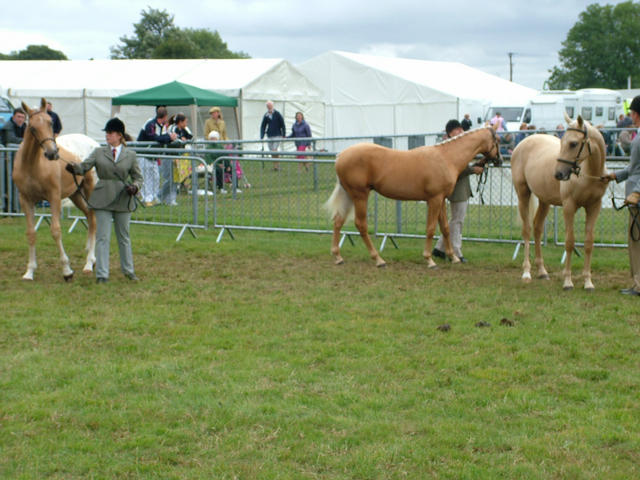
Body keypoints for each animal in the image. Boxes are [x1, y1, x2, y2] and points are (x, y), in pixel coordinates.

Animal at [10, 98, 96, 282]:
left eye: (50, 122)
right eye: (32, 127)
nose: (52, 153)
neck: (32, 165)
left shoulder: (54, 197)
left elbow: (56, 231)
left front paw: (67, 271)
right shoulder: (25, 199)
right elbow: (31, 233)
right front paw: (29, 271)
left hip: (89, 189)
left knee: (93, 218)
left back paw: (89, 263)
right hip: (76, 194)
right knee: (89, 216)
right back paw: (90, 257)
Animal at [328, 124, 502, 266]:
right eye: (497, 140)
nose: (499, 161)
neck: (445, 158)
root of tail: (340, 156)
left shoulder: (441, 200)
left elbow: (445, 228)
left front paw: (453, 258)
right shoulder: (434, 200)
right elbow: (431, 228)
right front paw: (429, 259)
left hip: (349, 195)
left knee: (338, 221)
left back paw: (338, 257)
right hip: (360, 196)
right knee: (361, 224)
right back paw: (378, 259)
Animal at [510, 114, 608, 290]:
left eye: (573, 143)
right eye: (562, 142)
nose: (559, 174)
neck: (588, 174)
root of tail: (525, 141)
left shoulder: (594, 207)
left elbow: (589, 242)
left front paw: (588, 282)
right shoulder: (569, 206)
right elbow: (569, 242)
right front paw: (568, 281)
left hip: (544, 201)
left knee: (537, 228)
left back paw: (542, 271)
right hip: (523, 194)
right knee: (527, 230)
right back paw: (526, 273)